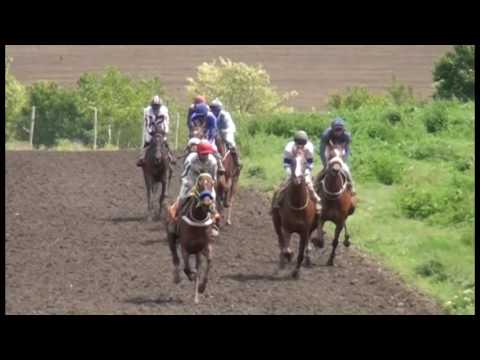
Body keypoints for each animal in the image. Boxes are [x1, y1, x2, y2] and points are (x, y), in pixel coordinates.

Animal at [167, 174, 216, 304]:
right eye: (199, 184)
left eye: (212, 184)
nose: (207, 203)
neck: (198, 219)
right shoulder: (185, 247)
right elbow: (186, 268)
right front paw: (191, 276)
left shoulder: (205, 246)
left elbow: (209, 262)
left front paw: (201, 288)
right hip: (171, 236)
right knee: (175, 258)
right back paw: (177, 277)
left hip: (197, 252)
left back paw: (195, 296)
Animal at [270, 149, 318, 278]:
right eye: (292, 161)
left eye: (305, 162)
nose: (297, 178)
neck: (297, 206)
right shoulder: (287, 228)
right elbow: (286, 248)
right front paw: (288, 256)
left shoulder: (305, 231)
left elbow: (301, 252)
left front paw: (296, 272)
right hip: (276, 222)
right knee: (281, 241)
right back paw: (282, 262)